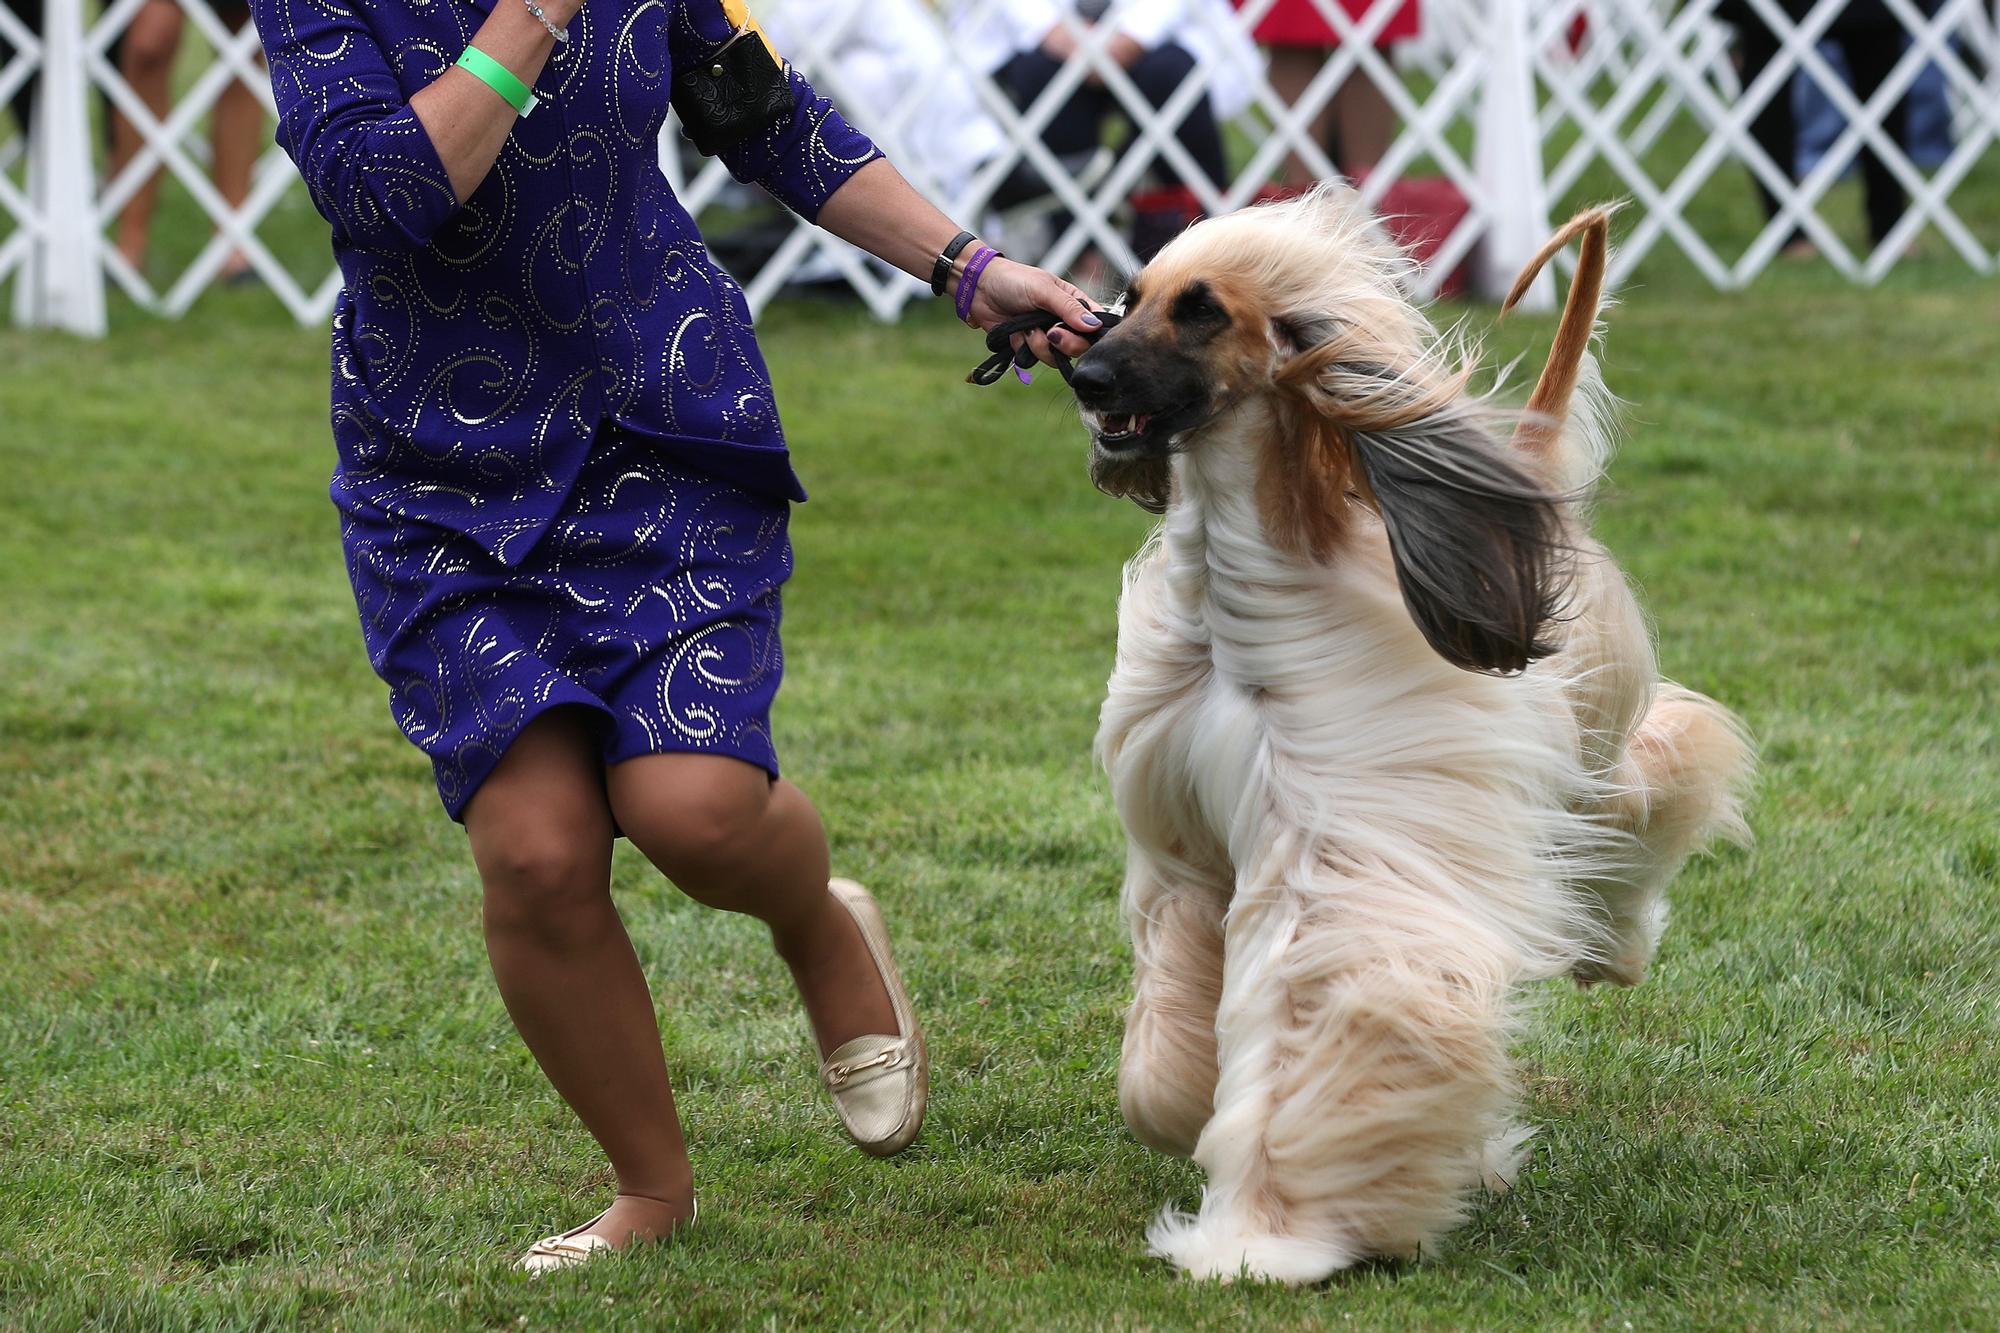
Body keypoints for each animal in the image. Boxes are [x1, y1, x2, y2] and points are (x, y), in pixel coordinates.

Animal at [1080, 187, 1752, 1280]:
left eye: (1202, 310)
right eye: (1127, 298)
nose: (1083, 372)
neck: (1230, 601)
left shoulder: (1330, 845)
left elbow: (1320, 1004)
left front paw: (1264, 1235)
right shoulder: (1184, 841)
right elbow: (1165, 1043)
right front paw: (1184, 1113)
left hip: (1581, 725)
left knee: (1649, 778)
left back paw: (1614, 943)